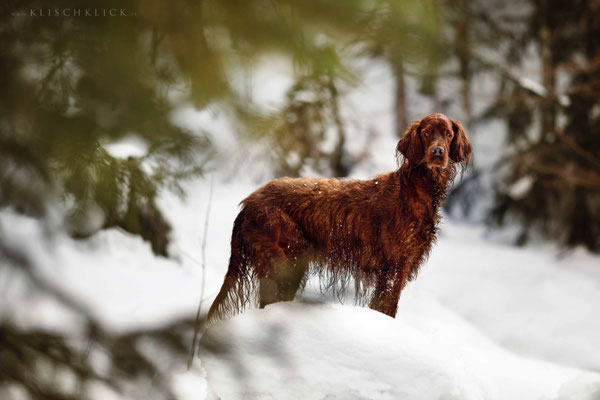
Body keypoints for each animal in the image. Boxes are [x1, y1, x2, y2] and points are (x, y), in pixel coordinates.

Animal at [209, 112, 472, 322]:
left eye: (448, 134)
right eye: (426, 133)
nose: (437, 152)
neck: (416, 190)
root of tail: (248, 203)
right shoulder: (394, 269)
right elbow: (385, 308)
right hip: (285, 262)